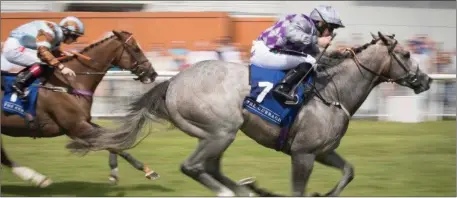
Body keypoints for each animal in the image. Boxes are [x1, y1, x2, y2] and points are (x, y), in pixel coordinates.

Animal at [0, 30, 160, 187]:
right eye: (136, 49)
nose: (153, 74)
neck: (70, 83)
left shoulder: (84, 122)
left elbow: (109, 138)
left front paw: (115, 172)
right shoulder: (76, 127)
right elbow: (110, 142)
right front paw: (148, 171)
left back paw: (36, 178)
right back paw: (36, 178)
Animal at [78, 31, 432, 196]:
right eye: (405, 54)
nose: (426, 80)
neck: (333, 93)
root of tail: (173, 81)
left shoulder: (322, 151)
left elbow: (348, 172)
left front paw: (324, 191)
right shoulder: (303, 154)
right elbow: (299, 191)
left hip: (216, 136)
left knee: (210, 167)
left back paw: (247, 188)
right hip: (221, 130)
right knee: (192, 166)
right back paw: (233, 191)